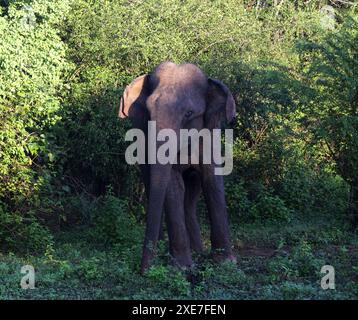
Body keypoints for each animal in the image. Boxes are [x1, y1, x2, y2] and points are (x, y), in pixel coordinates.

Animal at [120, 61, 236, 274]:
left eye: (189, 114)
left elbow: (213, 182)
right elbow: (172, 187)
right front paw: (182, 267)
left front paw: (225, 263)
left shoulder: (209, 137)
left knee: (190, 197)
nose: (143, 271)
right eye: (148, 111)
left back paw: (198, 252)